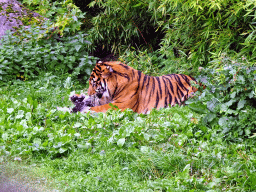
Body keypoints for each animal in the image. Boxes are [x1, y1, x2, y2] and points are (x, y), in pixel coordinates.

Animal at [67, 60, 198, 113]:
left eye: (94, 83)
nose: (89, 93)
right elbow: (94, 102)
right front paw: (77, 98)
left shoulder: (120, 106)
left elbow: (97, 108)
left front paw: (78, 109)